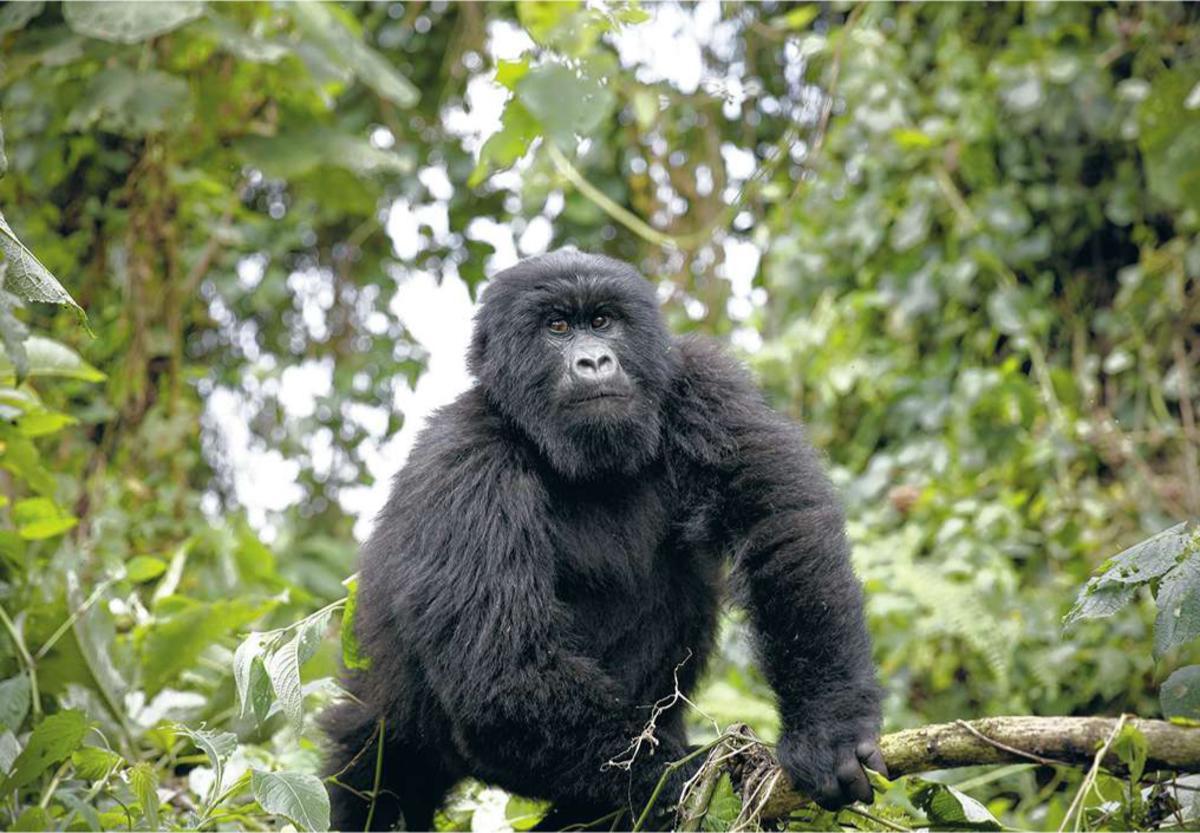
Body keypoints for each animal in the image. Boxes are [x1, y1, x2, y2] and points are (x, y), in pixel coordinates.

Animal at [324, 250, 888, 830]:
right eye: (556, 327)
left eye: (602, 321)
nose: (593, 362)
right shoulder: (462, 463)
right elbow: (507, 673)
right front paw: (691, 775)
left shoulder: (701, 381)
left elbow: (779, 527)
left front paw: (828, 727)